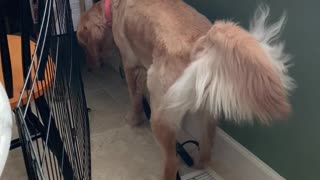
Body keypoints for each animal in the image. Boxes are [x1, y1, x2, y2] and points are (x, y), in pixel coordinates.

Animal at [109, 0, 294, 179]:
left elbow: (134, 96)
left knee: (172, 163)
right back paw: (200, 164)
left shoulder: (129, 63)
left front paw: (133, 119)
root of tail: (201, 42)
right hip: (207, 113)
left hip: (161, 113)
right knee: (206, 149)